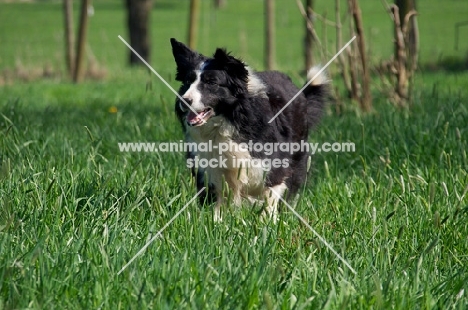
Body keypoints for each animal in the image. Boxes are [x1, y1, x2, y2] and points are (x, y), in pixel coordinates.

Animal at [170, 38, 328, 220]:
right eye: (187, 82)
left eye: (211, 82)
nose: (184, 100)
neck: (228, 120)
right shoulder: (209, 165)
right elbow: (217, 195)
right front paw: (214, 221)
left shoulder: (273, 162)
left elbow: (271, 191)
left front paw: (268, 220)